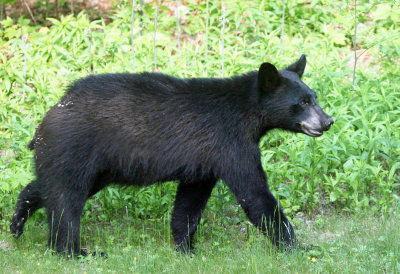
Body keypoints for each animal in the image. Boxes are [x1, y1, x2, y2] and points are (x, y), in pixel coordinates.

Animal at [10, 54, 332, 256]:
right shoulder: (231, 144)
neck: (247, 115)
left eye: (314, 97)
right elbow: (256, 195)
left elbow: (189, 203)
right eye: (303, 102)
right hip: (75, 147)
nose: (328, 121)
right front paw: (299, 249)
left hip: (93, 165)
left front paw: (185, 248)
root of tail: (52, 111)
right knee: (67, 199)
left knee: (49, 187)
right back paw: (76, 252)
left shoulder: (203, 162)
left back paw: (17, 221)